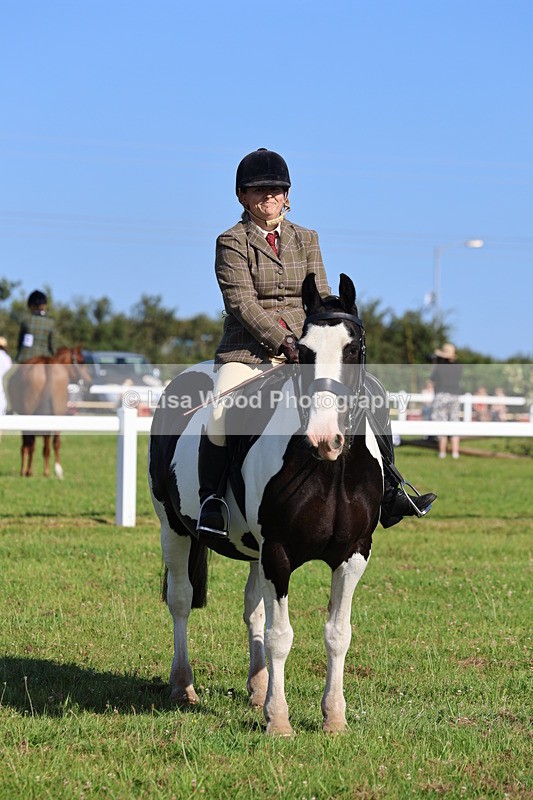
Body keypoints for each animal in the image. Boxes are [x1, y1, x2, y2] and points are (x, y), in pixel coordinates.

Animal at [7, 346, 92, 478]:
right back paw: (55, 470)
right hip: (57, 413)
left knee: (31, 444)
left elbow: (27, 445)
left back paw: (30, 471)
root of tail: (46, 363)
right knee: (54, 443)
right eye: (82, 362)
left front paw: (24, 470)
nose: (89, 382)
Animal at [148, 274, 384, 735]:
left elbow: (337, 633)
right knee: (181, 600)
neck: (329, 470)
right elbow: (281, 636)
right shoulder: (278, 552)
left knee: (252, 609)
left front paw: (334, 718)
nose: (324, 439)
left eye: (352, 349)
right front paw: (279, 720)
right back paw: (183, 686)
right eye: (304, 352)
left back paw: (257, 688)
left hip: (252, 549)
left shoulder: (353, 554)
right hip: (174, 528)